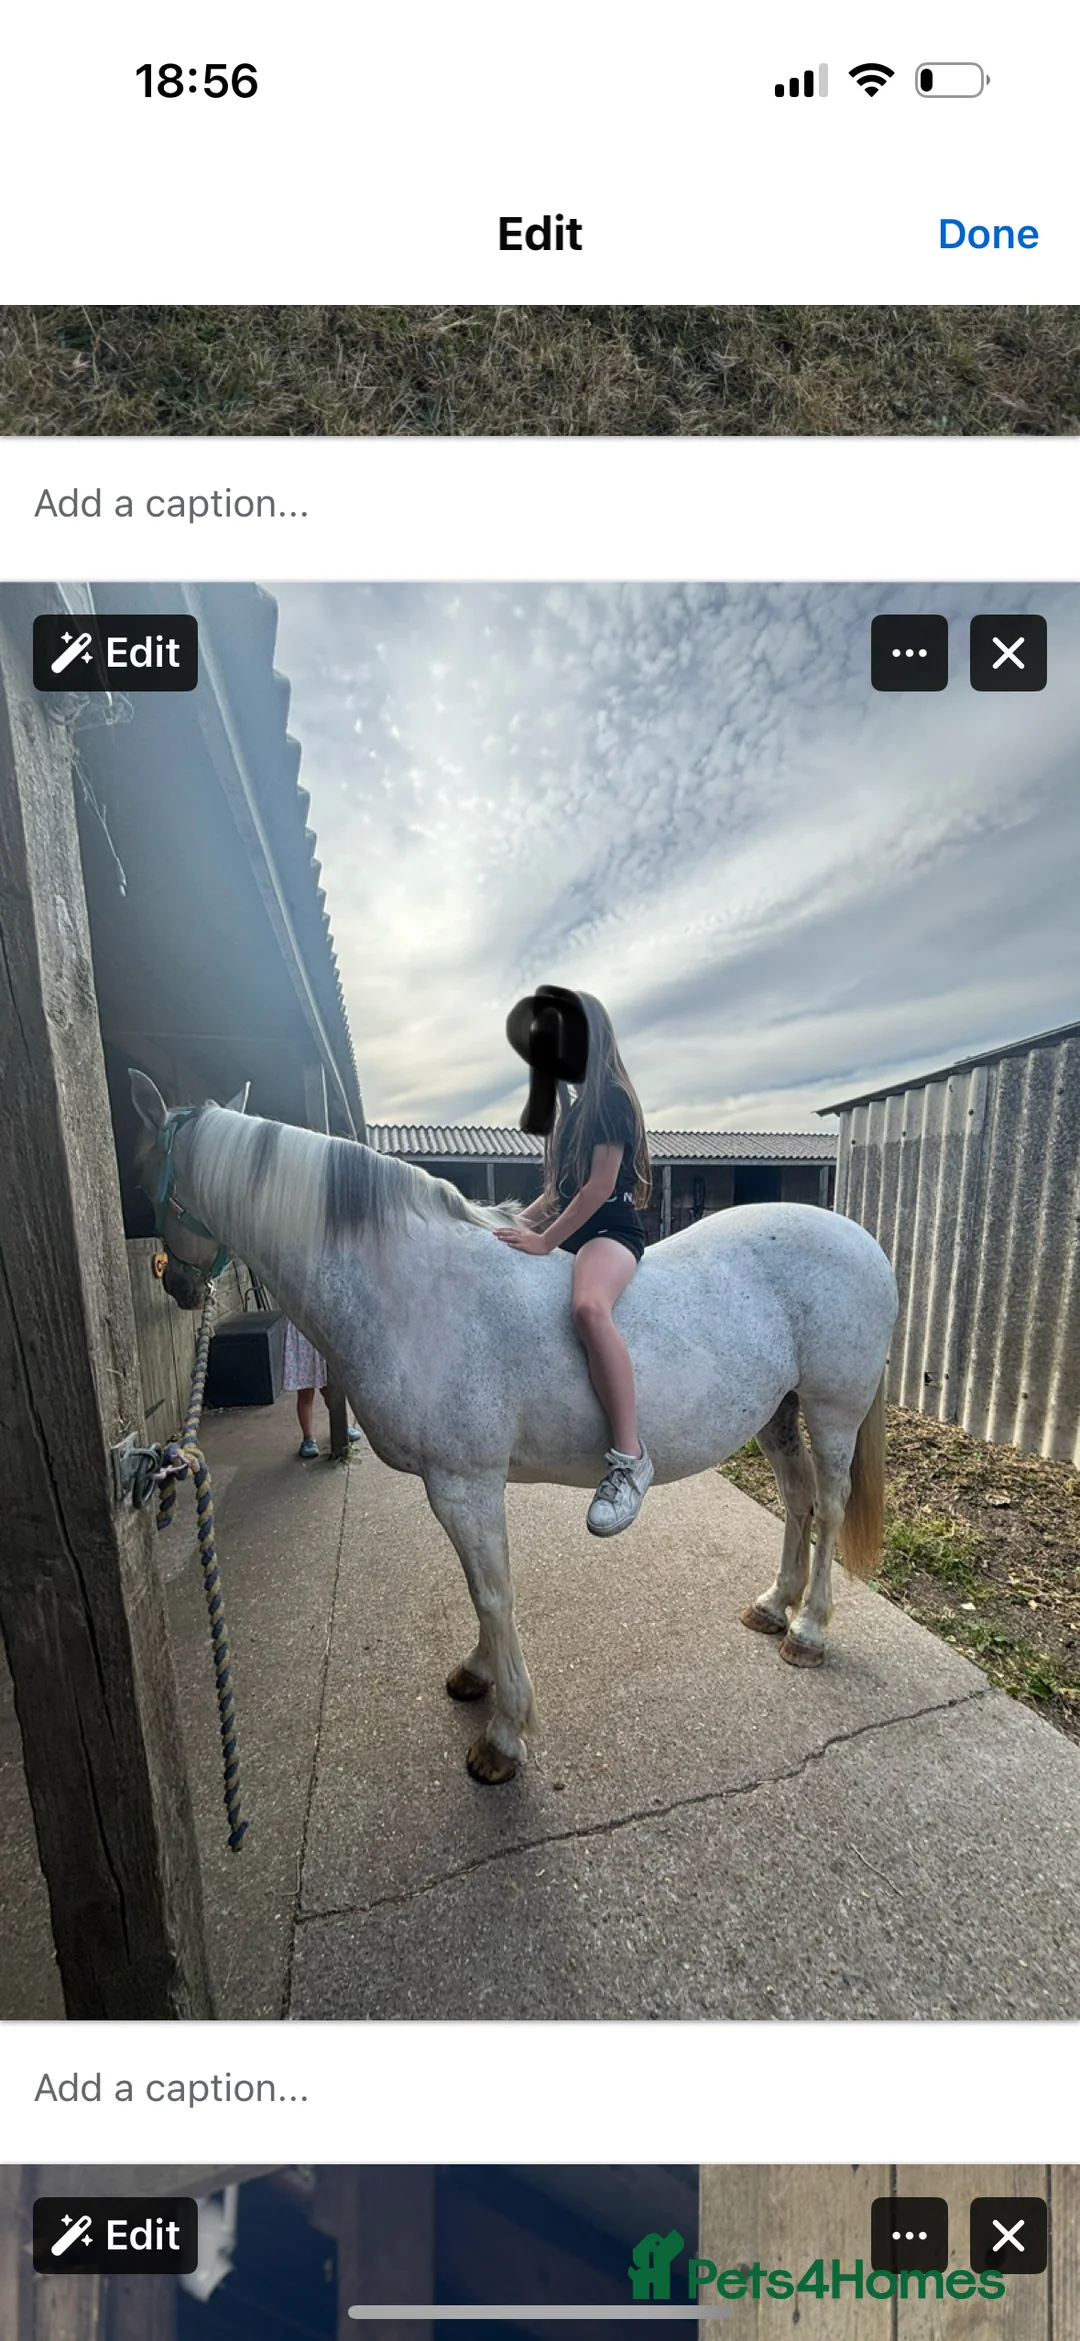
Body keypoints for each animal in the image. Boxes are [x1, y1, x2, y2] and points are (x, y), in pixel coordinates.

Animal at [130, 1073, 899, 1785]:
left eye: (147, 1171)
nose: (174, 1284)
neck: (414, 1286)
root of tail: (864, 1240)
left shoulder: (463, 1485)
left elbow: (492, 1592)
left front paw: (503, 1736)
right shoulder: (462, 1490)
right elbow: (480, 1586)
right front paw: (478, 1673)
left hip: (831, 1410)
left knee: (830, 1506)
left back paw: (808, 1629)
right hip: (776, 1412)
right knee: (798, 1499)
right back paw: (774, 1604)